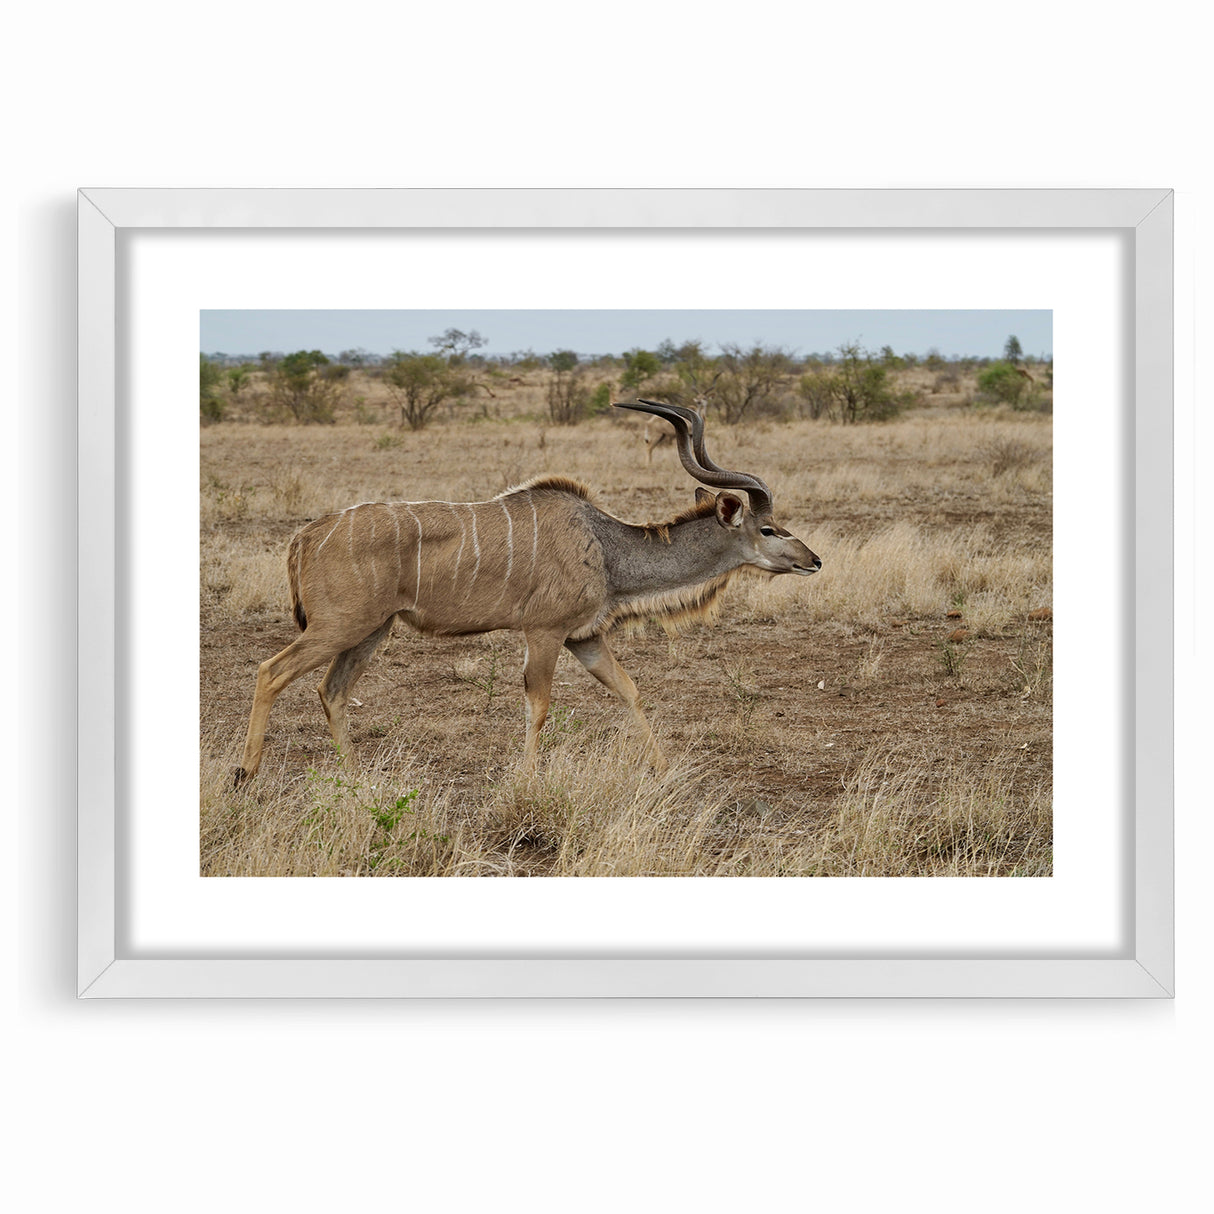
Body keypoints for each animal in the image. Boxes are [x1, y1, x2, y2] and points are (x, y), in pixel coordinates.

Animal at [234, 400, 821, 784]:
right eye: (769, 529)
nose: (813, 561)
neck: (606, 546)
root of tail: (305, 535)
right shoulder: (544, 632)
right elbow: (538, 705)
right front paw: (530, 779)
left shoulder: (584, 638)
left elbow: (629, 689)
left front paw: (663, 766)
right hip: (340, 626)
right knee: (271, 671)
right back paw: (246, 775)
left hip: (372, 630)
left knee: (331, 690)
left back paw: (355, 781)